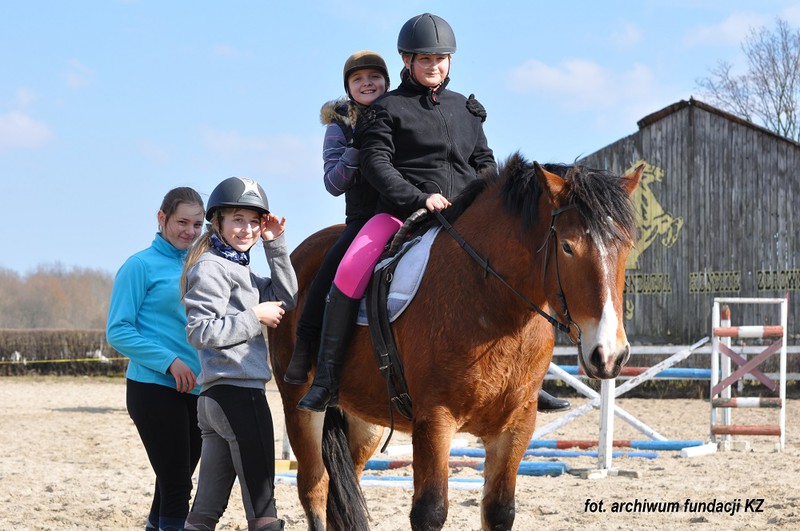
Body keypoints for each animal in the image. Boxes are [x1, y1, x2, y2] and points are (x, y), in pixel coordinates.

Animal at [268, 152, 644, 528]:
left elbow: (500, 510)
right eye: (567, 246)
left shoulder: (517, 425)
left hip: (364, 417)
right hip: (300, 405)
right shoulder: (435, 420)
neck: (494, 309)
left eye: (627, 246)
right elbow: (430, 510)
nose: (610, 356)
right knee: (314, 487)